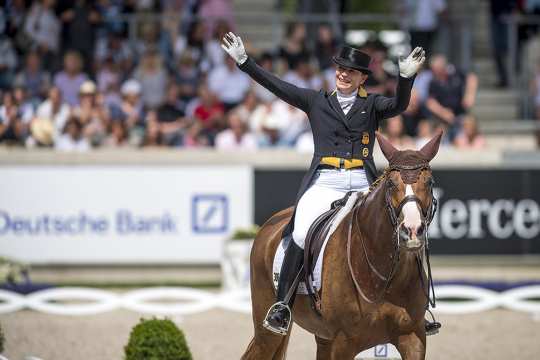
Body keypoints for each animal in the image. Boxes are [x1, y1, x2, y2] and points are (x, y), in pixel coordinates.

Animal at [242, 132, 442, 360]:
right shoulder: (343, 341)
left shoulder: (413, 336)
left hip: (323, 337)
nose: (412, 231)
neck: (385, 277)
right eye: (391, 184)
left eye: (430, 182)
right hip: (267, 333)